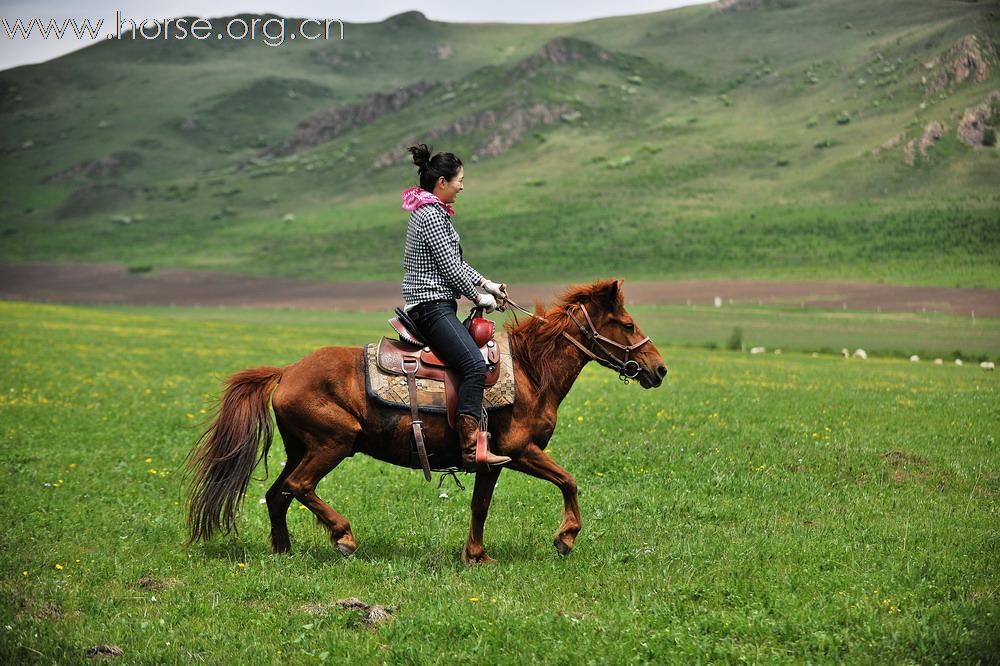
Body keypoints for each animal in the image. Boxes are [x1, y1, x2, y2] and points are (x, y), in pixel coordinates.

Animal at [188, 278, 668, 564]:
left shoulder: (491, 461)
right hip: (333, 443)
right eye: (626, 324)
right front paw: (565, 537)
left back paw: (283, 552)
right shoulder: (520, 451)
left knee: (277, 494)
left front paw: (476, 554)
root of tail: (286, 371)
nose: (659, 369)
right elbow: (569, 480)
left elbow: (480, 505)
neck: (534, 372)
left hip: (301, 447)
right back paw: (343, 537)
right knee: (298, 486)